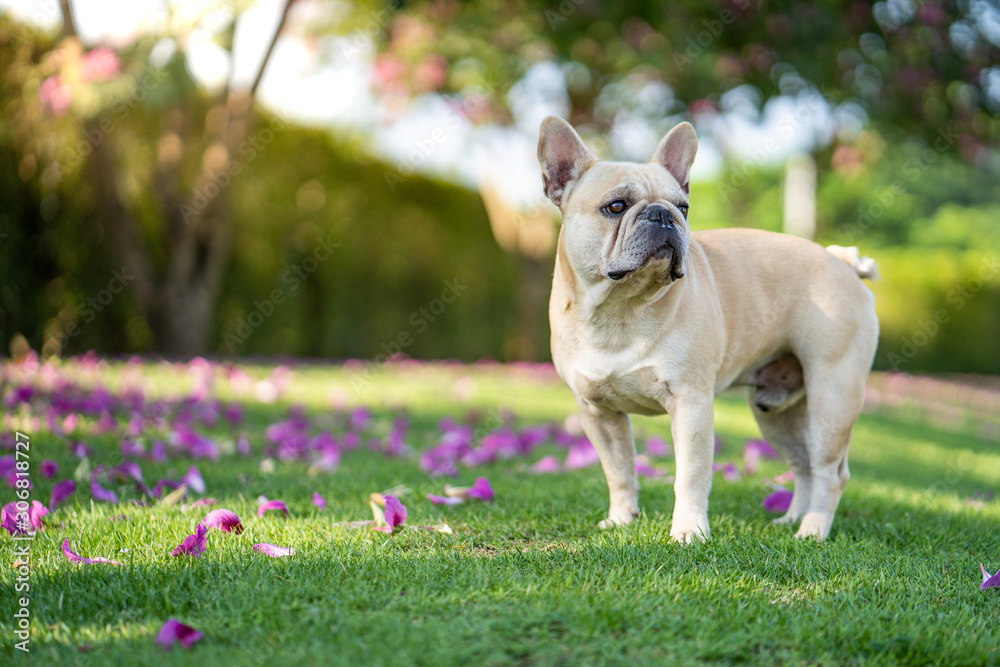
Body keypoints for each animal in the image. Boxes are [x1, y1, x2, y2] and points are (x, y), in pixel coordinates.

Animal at [540, 115, 876, 544]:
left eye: (684, 208)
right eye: (615, 207)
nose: (664, 215)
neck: (622, 309)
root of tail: (843, 262)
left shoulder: (692, 405)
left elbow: (691, 474)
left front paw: (689, 531)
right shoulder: (599, 413)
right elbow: (619, 470)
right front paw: (621, 519)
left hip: (832, 400)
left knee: (830, 473)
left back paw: (812, 530)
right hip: (777, 414)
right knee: (803, 465)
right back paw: (790, 521)